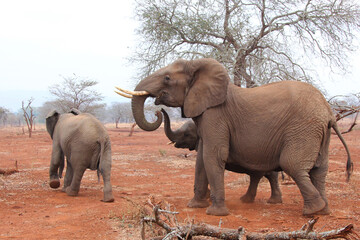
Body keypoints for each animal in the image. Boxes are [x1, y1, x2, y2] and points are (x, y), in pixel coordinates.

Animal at [116, 57, 352, 216]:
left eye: (167, 78)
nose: (158, 109)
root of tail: (329, 112)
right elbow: (201, 160)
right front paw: (195, 206)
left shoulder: (216, 115)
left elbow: (213, 157)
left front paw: (215, 213)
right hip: (319, 133)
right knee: (319, 170)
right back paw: (323, 210)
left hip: (303, 128)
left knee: (292, 165)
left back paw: (312, 211)